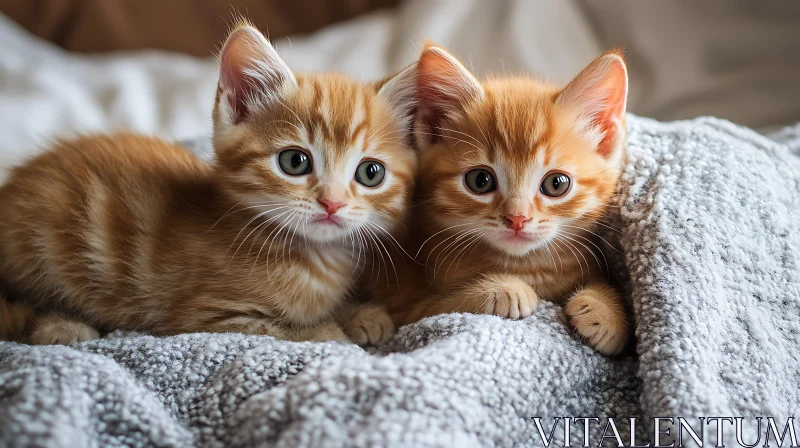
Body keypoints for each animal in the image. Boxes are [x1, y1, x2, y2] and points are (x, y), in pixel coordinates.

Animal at [0, 24, 416, 344]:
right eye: (295, 162)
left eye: (370, 173)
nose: (332, 203)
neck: (311, 255)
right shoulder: (203, 317)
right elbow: (278, 329)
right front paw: (329, 332)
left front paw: (362, 313)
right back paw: (62, 326)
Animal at [390, 43, 636, 356]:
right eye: (480, 181)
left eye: (557, 184)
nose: (517, 218)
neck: (527, 266)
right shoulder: (407, 306)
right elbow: (440, 306)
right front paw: (503, 290)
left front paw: (606, 313)